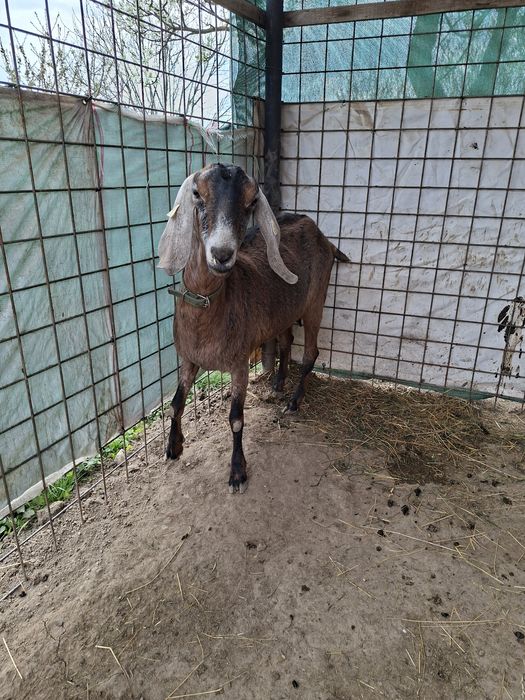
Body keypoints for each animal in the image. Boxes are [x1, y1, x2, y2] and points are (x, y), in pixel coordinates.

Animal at [158, 163, 349, 493]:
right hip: (283, 312)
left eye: (250, 202)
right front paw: (174, 447)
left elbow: (236, 418)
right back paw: (278, 384)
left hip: (316, 300)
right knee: (286, 341)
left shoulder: (239, 363)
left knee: (310, 352)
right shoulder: (189, 358)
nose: (222, 254)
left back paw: (293, 402)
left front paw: (237, 473)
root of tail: (323, 237)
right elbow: (175, 403)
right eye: (197, 193)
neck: (209, 305)